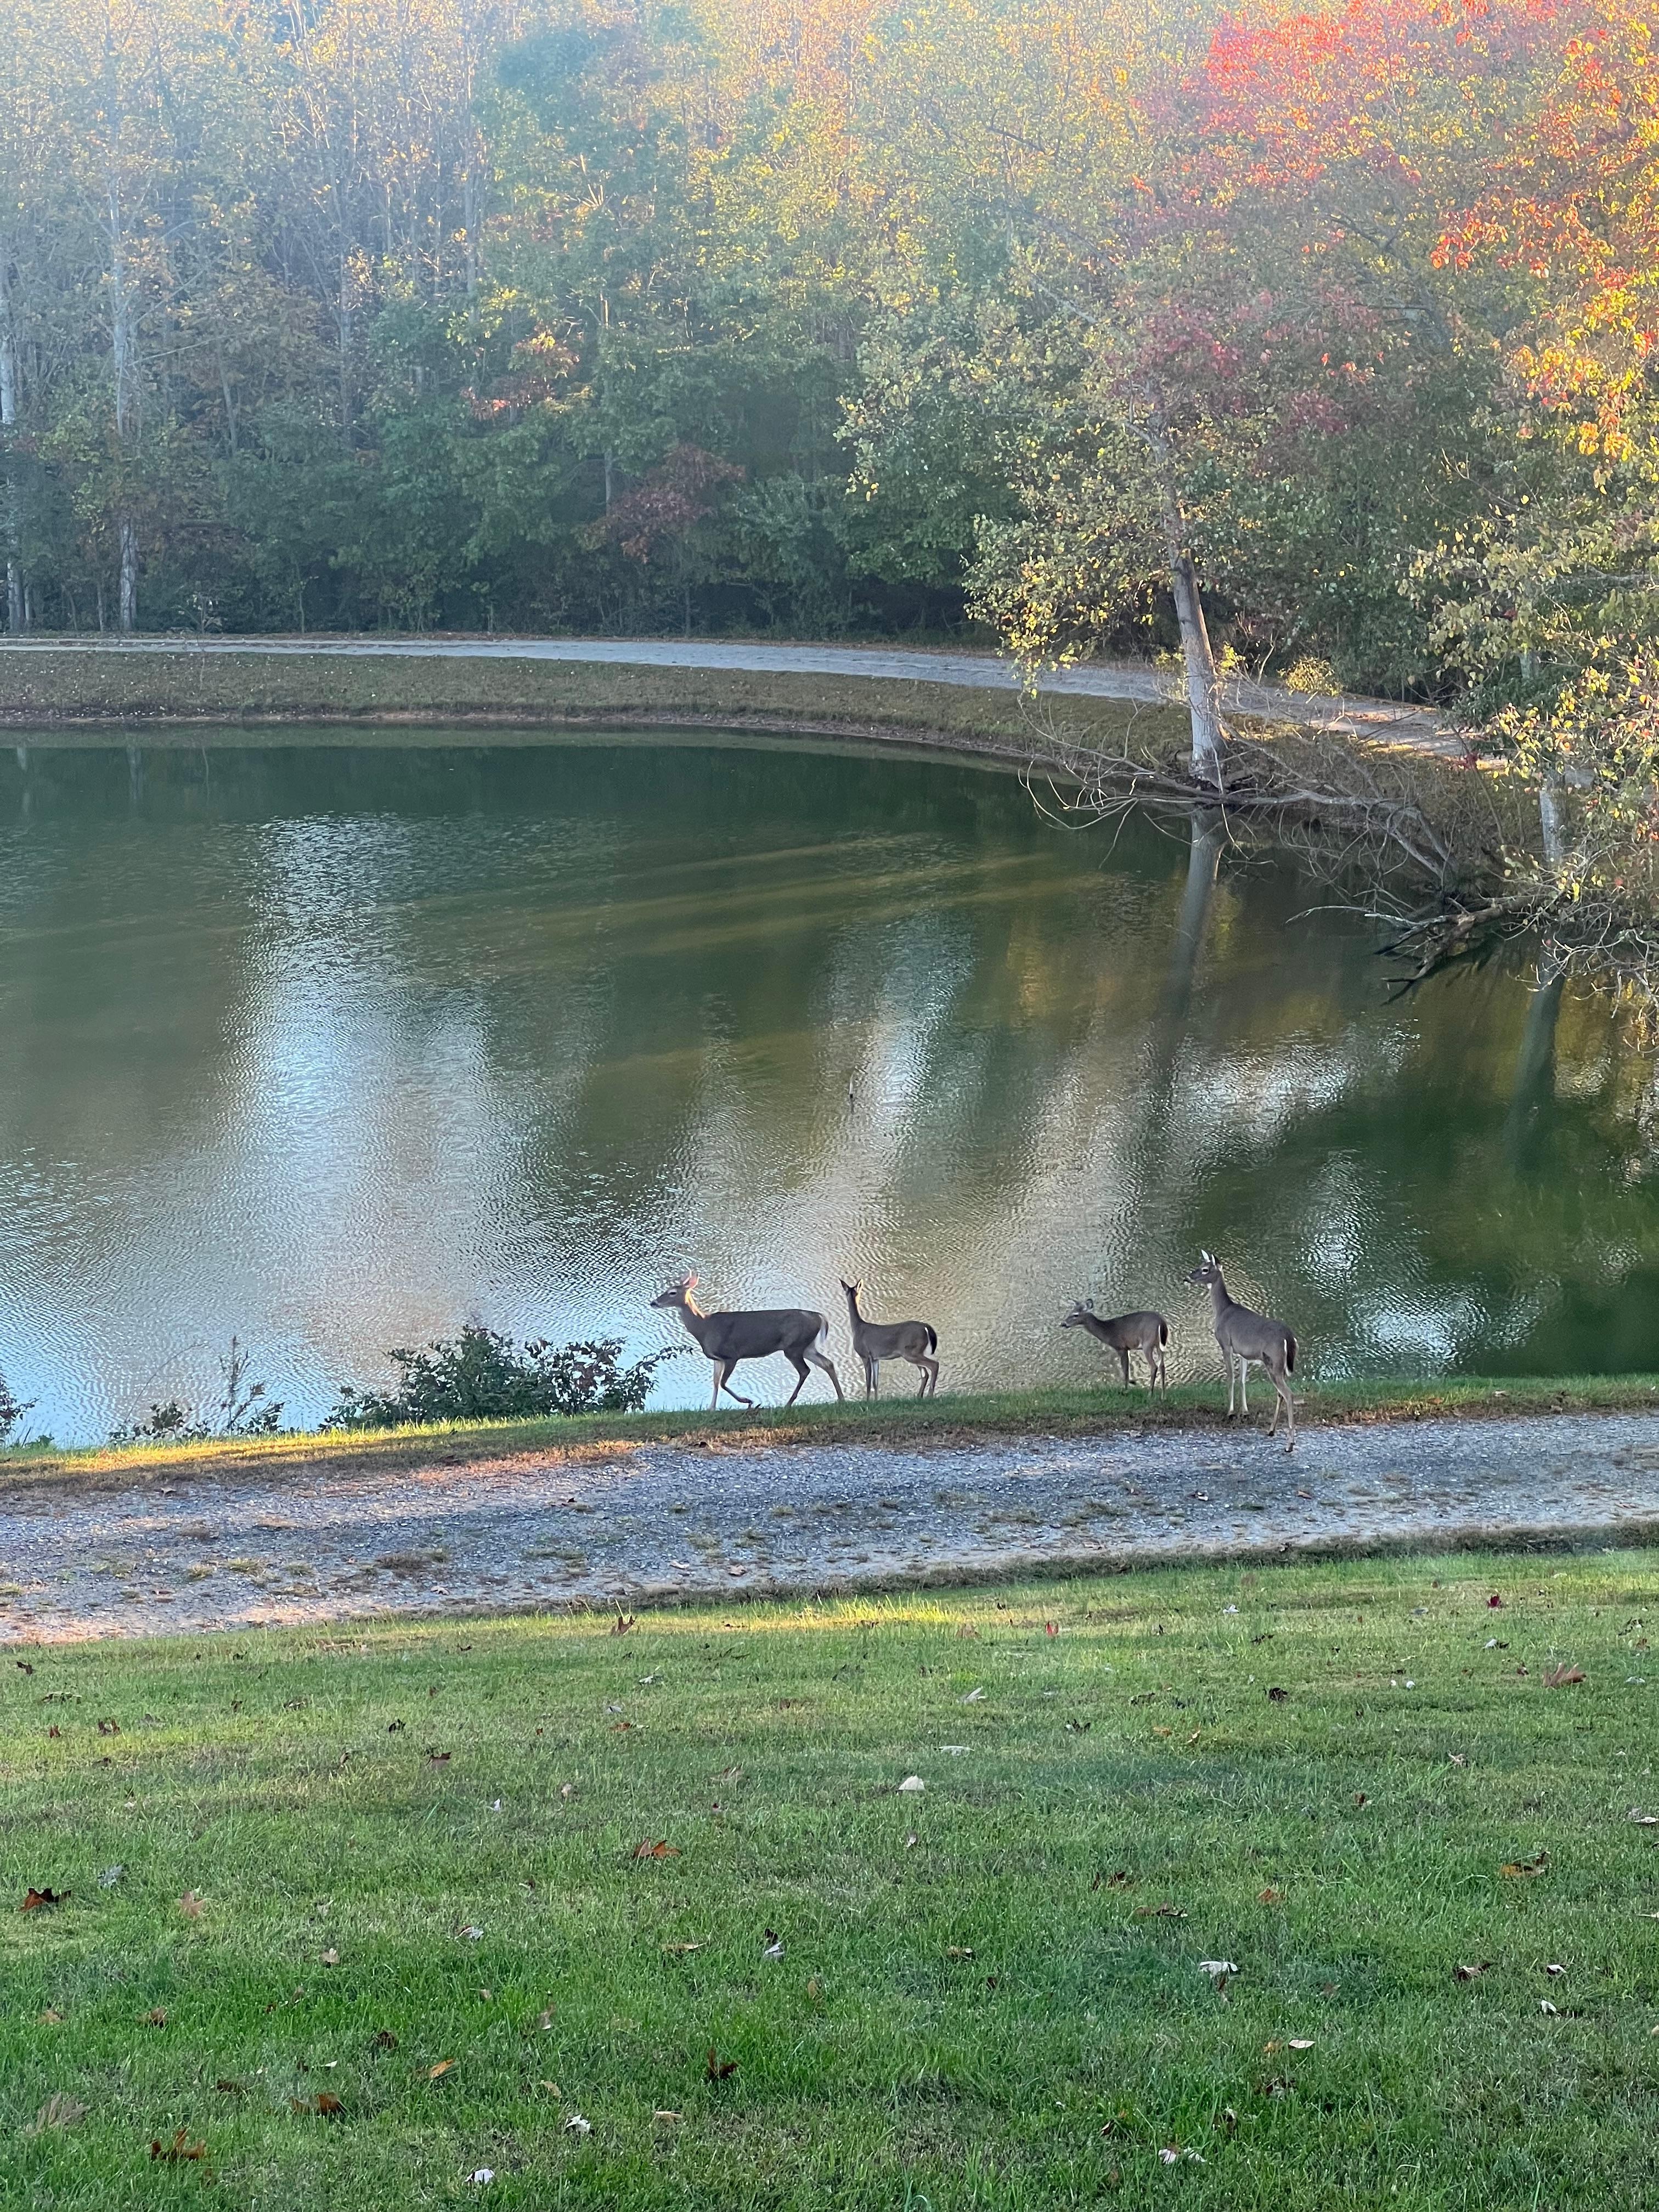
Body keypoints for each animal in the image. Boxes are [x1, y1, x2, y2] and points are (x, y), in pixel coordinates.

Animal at [650, 1274, 843, 1410]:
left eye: (672, 1292)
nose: (654, 1302)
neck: (704, 1328)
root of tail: (820, 1317)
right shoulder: (717, 1359)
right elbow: (715, 1382)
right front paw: (711, 1408)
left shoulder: (731, 1355)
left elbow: (723, 1383)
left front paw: (748, 1401)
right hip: (806, 1347)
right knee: (828, 1363)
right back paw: (841, 1398)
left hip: (794, 1347)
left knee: (805, 1370)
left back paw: (789, 1404)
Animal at [841, 1280, 939, 1399]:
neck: (857, 1327)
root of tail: (926, 1327)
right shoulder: (875, 1358)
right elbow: (875, 1382)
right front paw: (876, 1400)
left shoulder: (865, 1355)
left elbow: (868, 1383)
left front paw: (867, 1401)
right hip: (915, 1352)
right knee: (925, 1374)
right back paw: (919, 1396)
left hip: (911, 1352)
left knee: (934, 1365)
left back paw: (929, 1395)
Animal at [1060, 1301, 1169, 1393]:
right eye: (1070, 1312)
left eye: (1076, 1315)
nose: (1063, 1324)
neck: (1108, 1331)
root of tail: (1161, 1322)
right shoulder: (1126, 1349)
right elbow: (1124, 1368)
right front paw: (1132, 1383)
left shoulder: (1121, 1347)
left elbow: (1125, 1370)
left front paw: (1126, 1390)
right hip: (1160, 1345)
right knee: (1162, 1366)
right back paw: (1163, 1395)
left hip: (1148, 1343)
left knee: (1154, 1366)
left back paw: (1150, 1394)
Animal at [1185, 1251, 1297, 1451]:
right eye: (1199, 1265)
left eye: (1205, 1269)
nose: (1188, 1278)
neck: (1223, 1310)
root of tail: (1289, 1337)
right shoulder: (1242, 1353)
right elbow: (1243, 1380)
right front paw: (1244, 1412)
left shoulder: (1226, 1344)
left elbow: (1230, 1378)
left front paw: (1230, 1412)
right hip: (1279, 1366)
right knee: (1281, 1394)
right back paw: (1271, 1430)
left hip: (1274, 1362)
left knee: (1289, 1395)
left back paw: (1289, 1444)